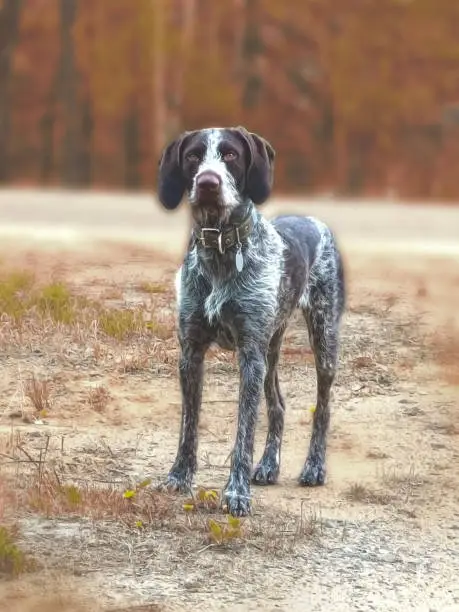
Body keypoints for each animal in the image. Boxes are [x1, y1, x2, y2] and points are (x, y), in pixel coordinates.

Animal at [155, 125, 344, 516]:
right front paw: (178, 477)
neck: (220, 248)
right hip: (271, 351)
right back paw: (269, 464)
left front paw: (236, 493)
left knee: (323, 406)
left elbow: (244, 432)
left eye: (230, 154)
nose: (208, 183)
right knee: (278, 406)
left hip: (323, 340)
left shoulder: (249, 357)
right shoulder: (190, 353)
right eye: (193, 156)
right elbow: (188, 426)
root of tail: (312, 219)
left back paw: (314, 467)